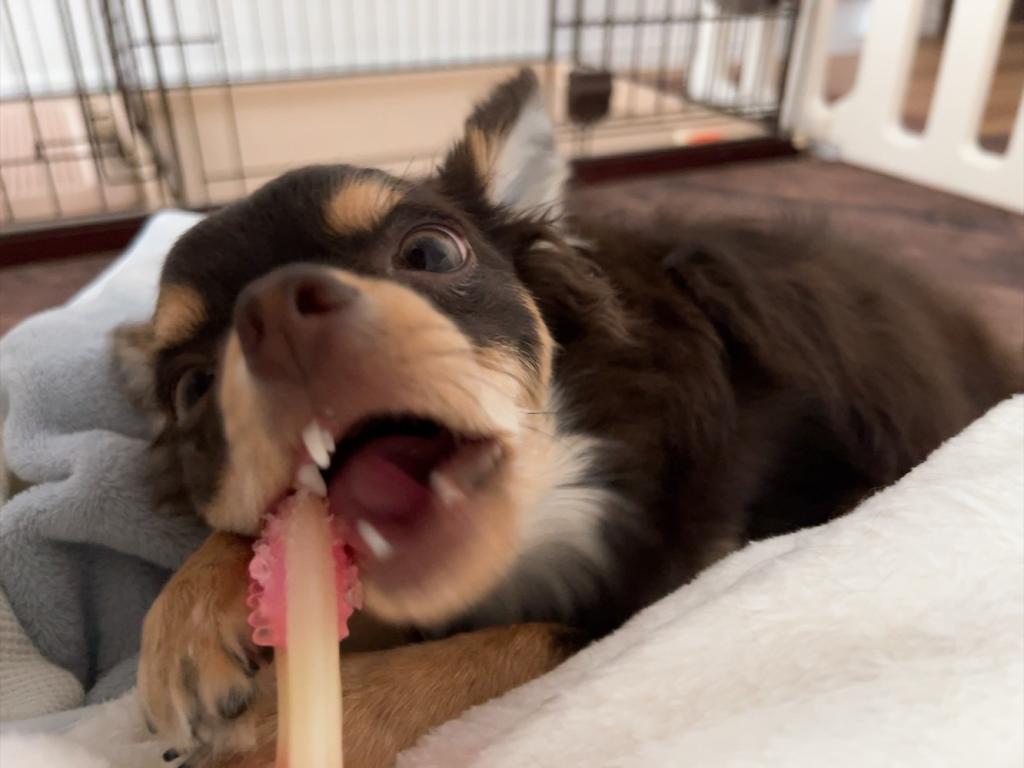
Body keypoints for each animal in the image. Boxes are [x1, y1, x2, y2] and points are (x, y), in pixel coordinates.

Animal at [116, 69, 1019, 765]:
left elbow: (524, 640)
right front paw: (189, 619)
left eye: (431, 253)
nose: (275, 308)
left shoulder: (676, 578)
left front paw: (290, 720)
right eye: (192, 388)